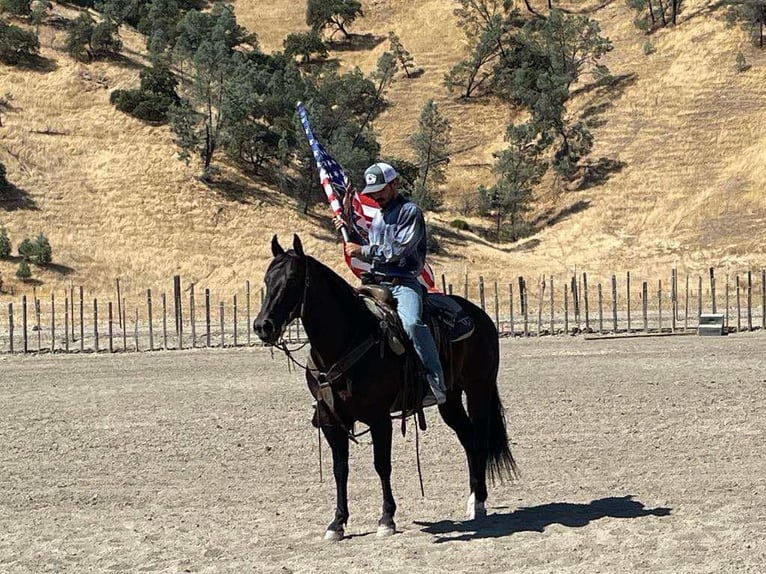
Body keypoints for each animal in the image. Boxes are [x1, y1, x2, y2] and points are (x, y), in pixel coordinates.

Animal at [255, 234, 520, 540]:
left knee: (479, 438)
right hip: (450, 399)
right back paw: (473, 498)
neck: (349, 338)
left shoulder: (379, 417)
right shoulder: (330, 419)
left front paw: (386, 519)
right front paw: (337, 523)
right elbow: (340, 468)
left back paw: (479, 502)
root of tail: (480, 315)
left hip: (479, 388)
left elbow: (381, 465)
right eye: (267, 279)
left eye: (293, 278)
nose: (262, 326)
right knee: (467, 438)